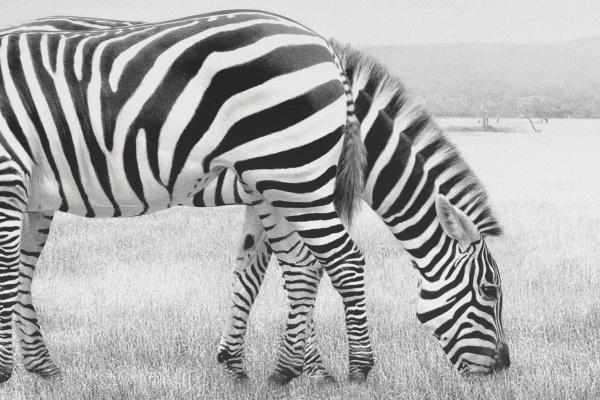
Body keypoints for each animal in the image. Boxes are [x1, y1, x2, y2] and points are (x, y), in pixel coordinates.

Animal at [0, 10, 372, 384]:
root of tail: (322, 45)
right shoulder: (21, 189)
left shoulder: (7, 177)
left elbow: (6, 275)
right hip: (281, 177)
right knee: (303, 264)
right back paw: (285, 371)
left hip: (292, 173)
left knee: (343, 259)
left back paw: (357, 368)